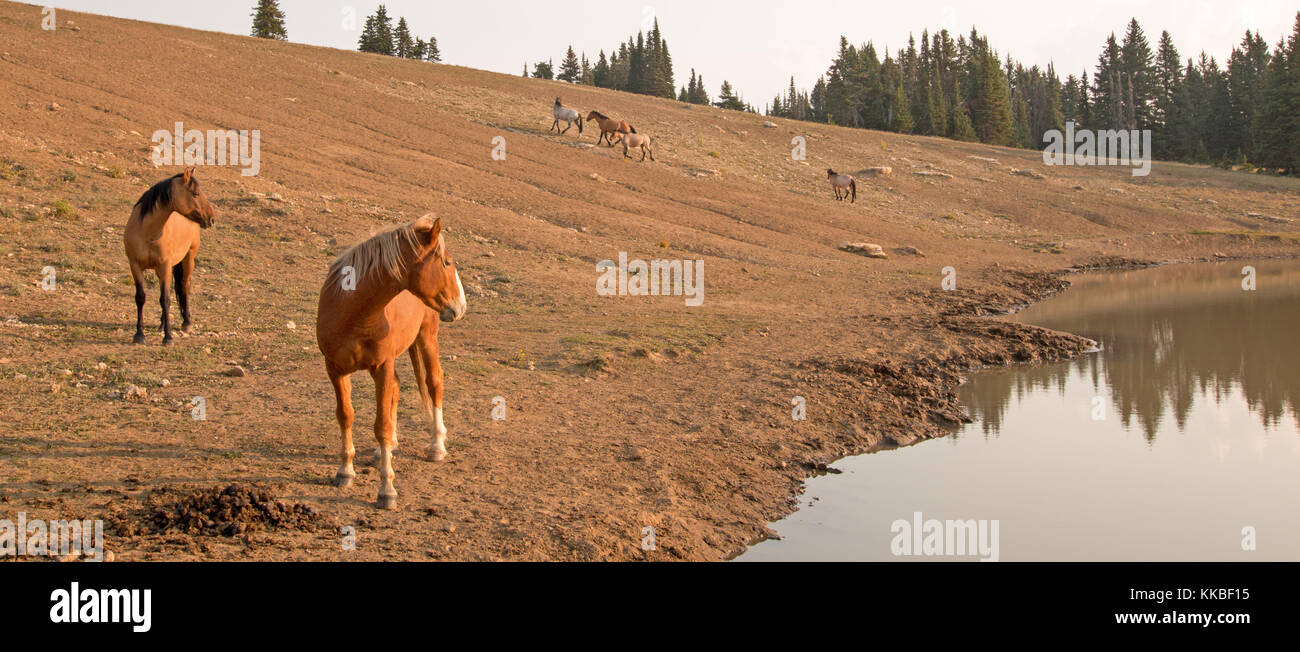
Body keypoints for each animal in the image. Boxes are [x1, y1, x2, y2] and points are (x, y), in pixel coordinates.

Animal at [122, 167, 214, 345]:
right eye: (196, 193)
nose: (211, 218)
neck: (148, 233)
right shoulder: (135, 265)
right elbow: (141, 297)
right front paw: (139, 334)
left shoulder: (164, 265)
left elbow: (165, 299)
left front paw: (168, 337)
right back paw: (161, 325)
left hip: (188, 259)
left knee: (184, 286)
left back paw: (186, 323)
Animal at [317, 214, 470, 509]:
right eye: (446, 262)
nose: (461, 306)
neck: (351, 312)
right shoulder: (334, 369)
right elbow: (346, 415)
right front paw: (345, 471)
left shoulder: (382, 367)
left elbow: (382, 426)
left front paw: (386, 489)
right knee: (397, 389)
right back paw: (384, 451)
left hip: (426, 337)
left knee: (434, 382)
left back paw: (436, 446)